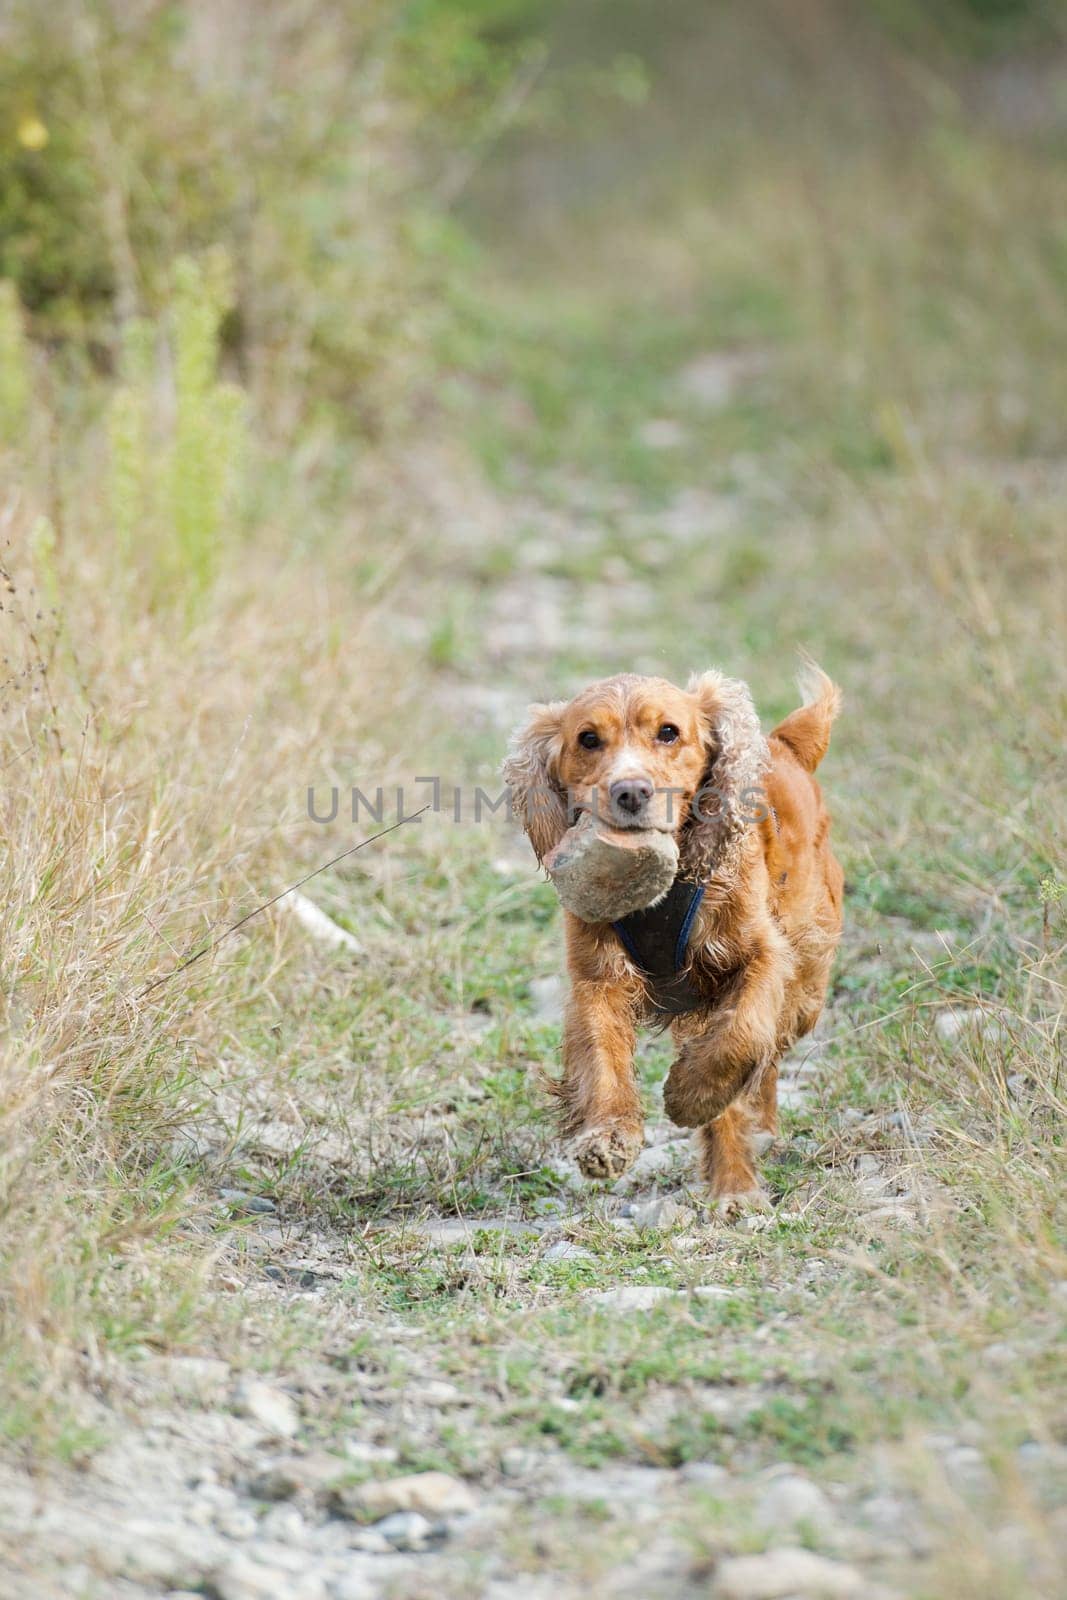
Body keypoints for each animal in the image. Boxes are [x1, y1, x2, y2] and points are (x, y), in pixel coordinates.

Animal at [505, 668, 844, 1203]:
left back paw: (742, 1170)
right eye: (588, 739)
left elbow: (744, 1034)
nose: (630, 792)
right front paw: (608, 1135)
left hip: (807, 977)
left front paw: (691, 1096)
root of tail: (784, 746)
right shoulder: (597, 977)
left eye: (668, 732)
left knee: (768, 1054)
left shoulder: (762, 954)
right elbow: (601, 1055)